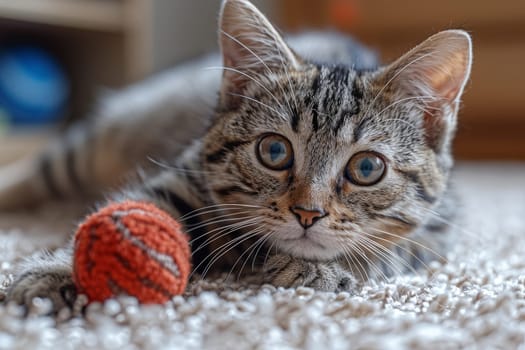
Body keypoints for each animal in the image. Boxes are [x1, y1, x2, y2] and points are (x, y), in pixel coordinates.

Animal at [3, 0, 470, 312]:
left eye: (367, 167)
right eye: (274, 151)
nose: (307, 213)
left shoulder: (439, 230)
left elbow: (389, 251)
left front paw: (321, 268)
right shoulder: (184, 178)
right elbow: (136, 209)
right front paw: (64, 271)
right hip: (104, 138)